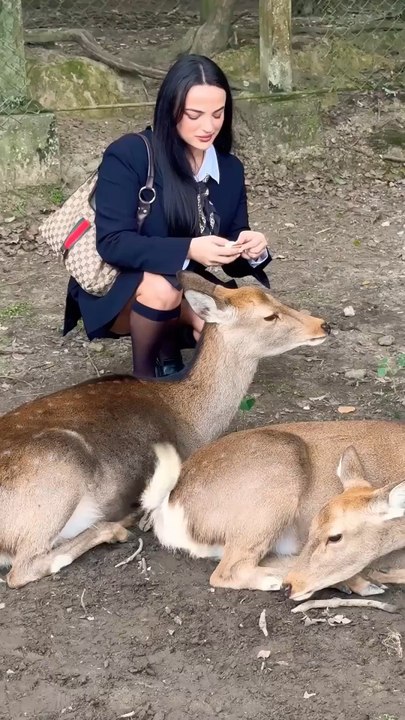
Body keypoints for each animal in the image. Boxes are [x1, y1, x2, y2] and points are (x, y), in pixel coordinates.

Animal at [0, 272, 330, 589]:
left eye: (276, 298)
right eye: (269, 316)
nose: (323, 324)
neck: (193, 418)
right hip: (58, 472)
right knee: (24, 567)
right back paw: (118, 526)